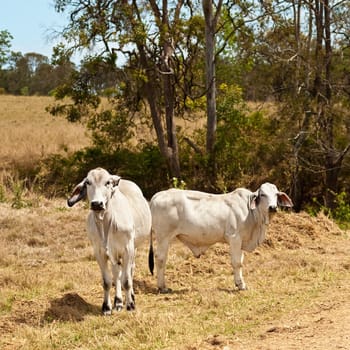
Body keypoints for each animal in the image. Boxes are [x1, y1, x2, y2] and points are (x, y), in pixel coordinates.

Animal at [67, 167, 151, 314]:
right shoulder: (99, 252)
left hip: (133, 247)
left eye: (107, 182)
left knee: (130, 270)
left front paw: (130, 305)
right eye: (88, 182)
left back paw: (130, 297)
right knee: (116, 272)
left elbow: (127, 280)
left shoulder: (128, 249)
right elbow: (107, 281)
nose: (97, 204)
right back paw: (118, 302)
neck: (106, 224)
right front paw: (107, 307)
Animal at [149, 183, 294, 292]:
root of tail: (157, 195)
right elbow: (237, 262)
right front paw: (240, 285)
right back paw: (162, 287)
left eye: (276, 194)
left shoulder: (241, 242)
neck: (252, 213)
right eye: (262, 194)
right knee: (160, 259)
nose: (273, 207)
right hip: (163, 237)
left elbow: (240, 261)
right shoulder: (234, 238)